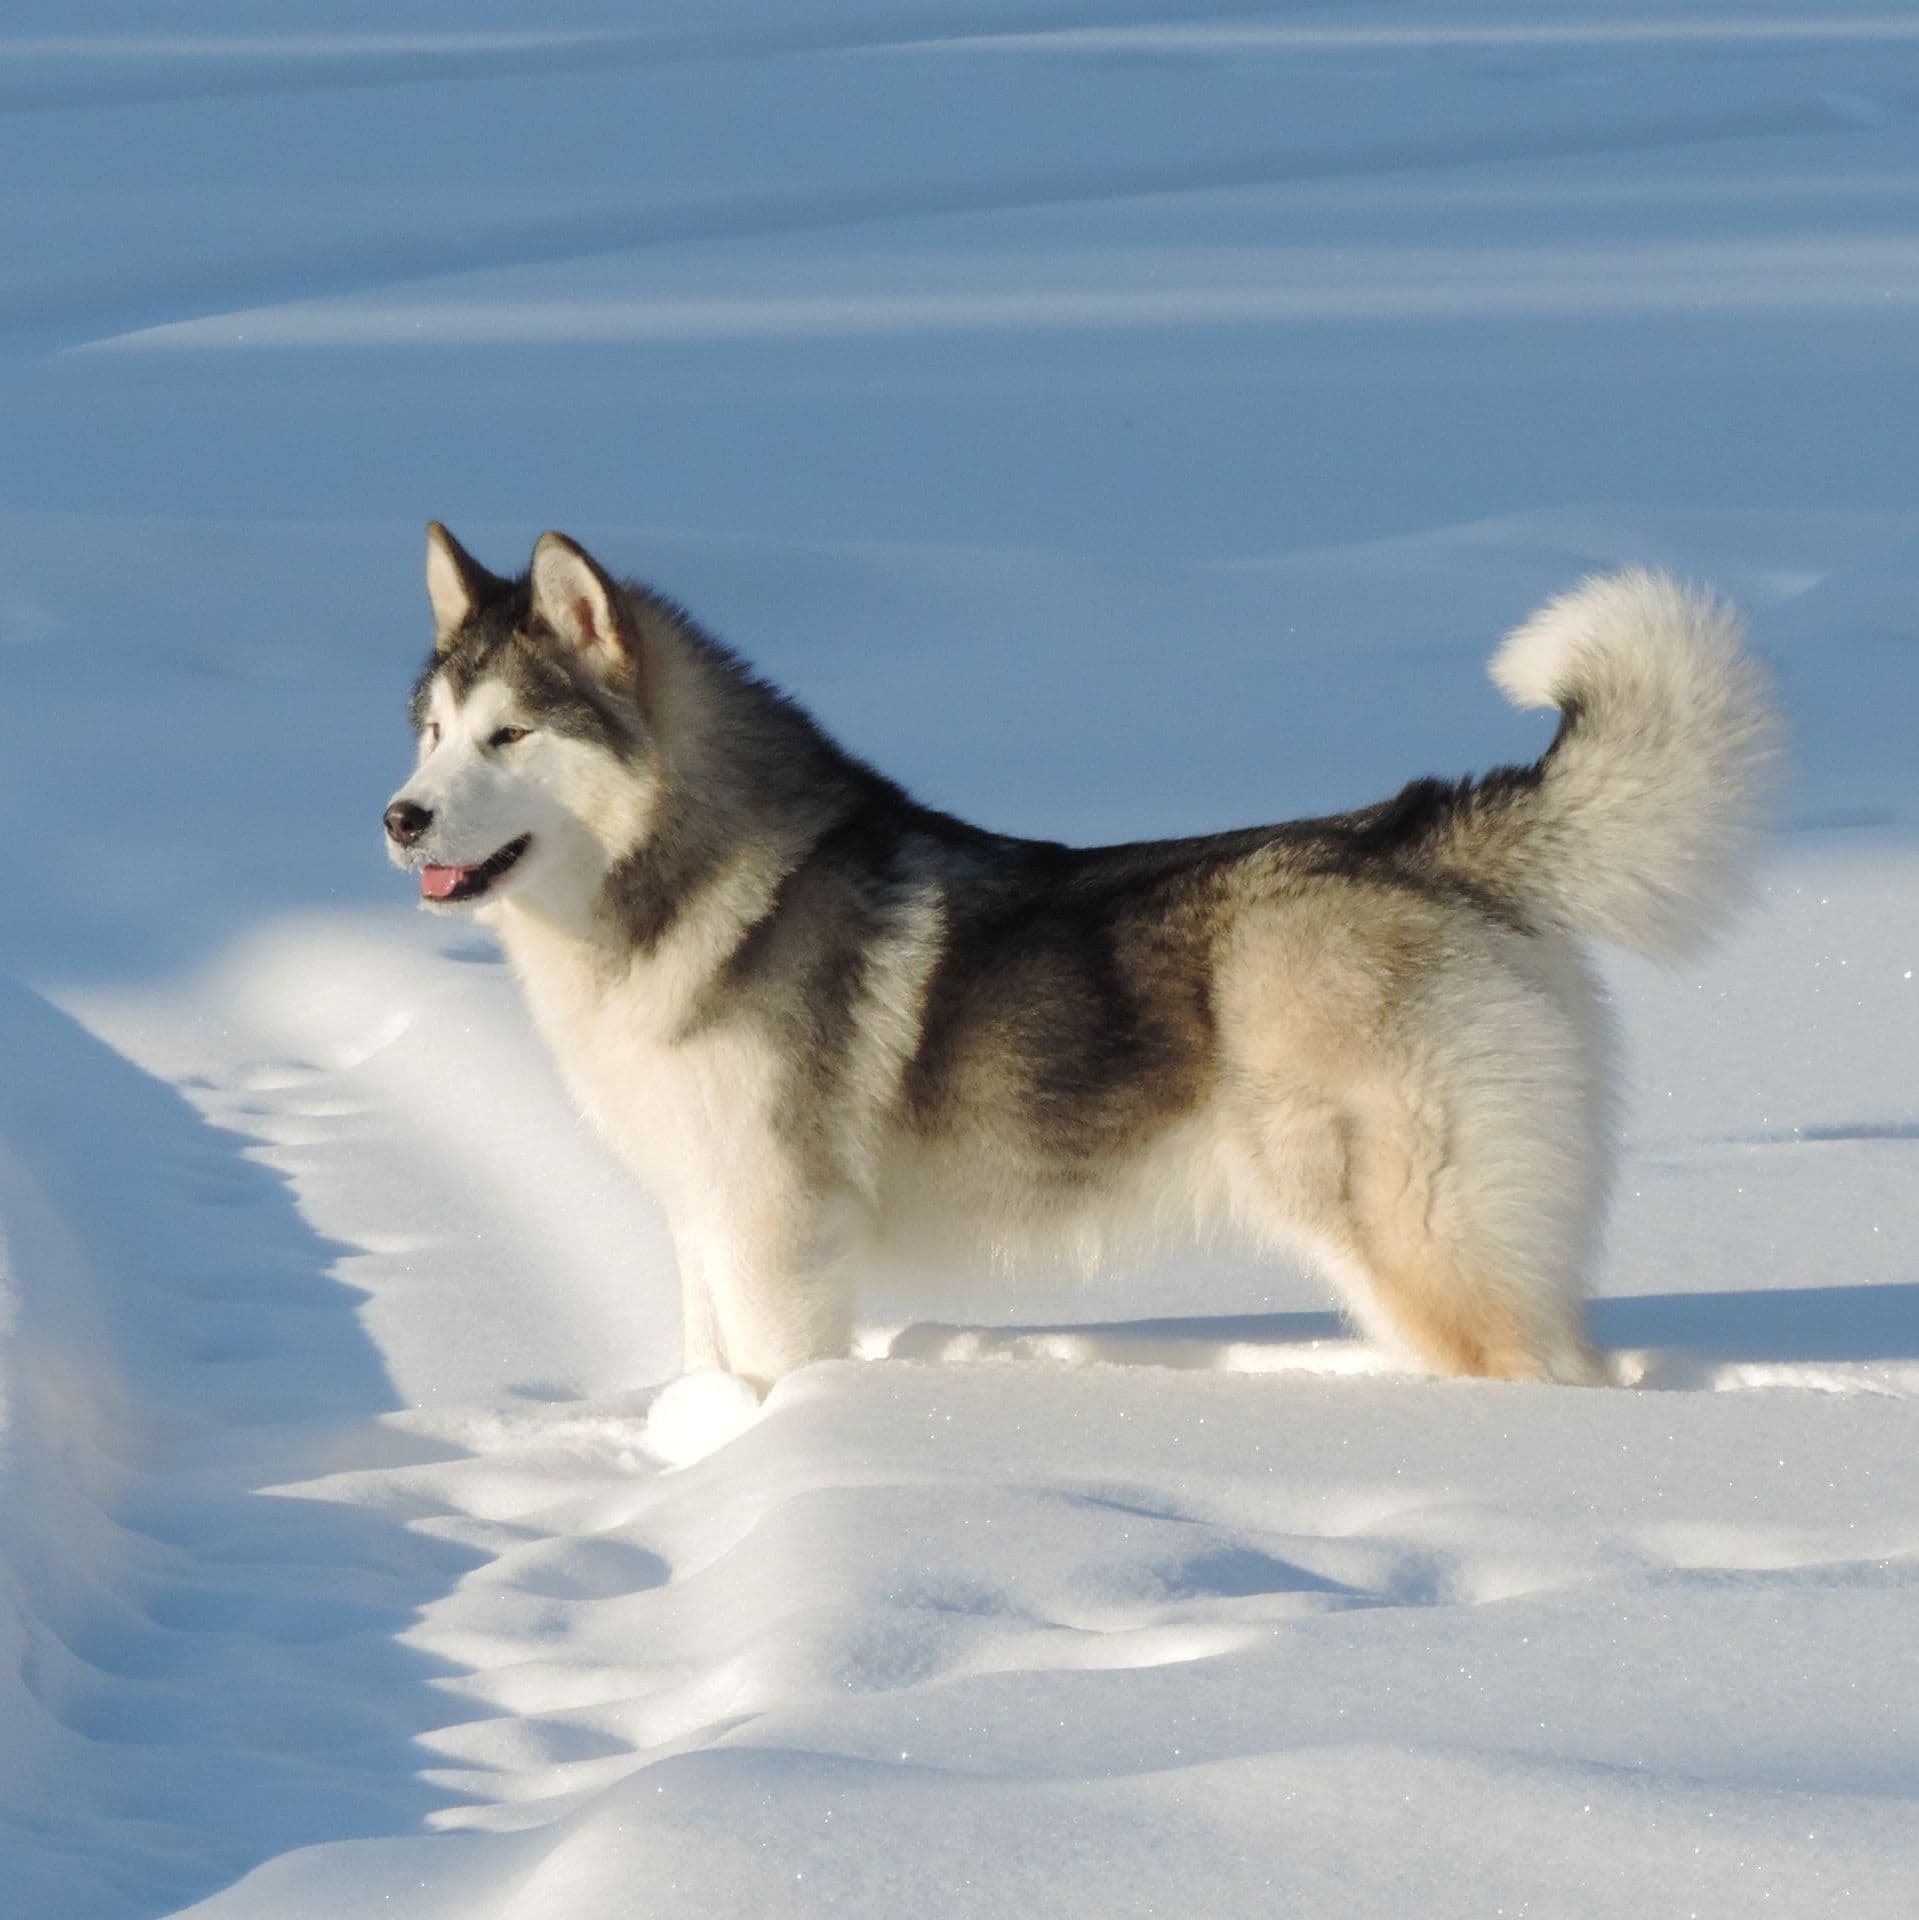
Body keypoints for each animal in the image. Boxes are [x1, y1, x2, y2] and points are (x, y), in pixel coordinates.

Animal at [382, 526, 1774, 1397]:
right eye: (431, 733)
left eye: (509, 736)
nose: (396, 818)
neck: (687, 890)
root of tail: (1417, 835)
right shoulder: (701, 1220)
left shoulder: (779, 1241)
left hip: (1417, 1241)